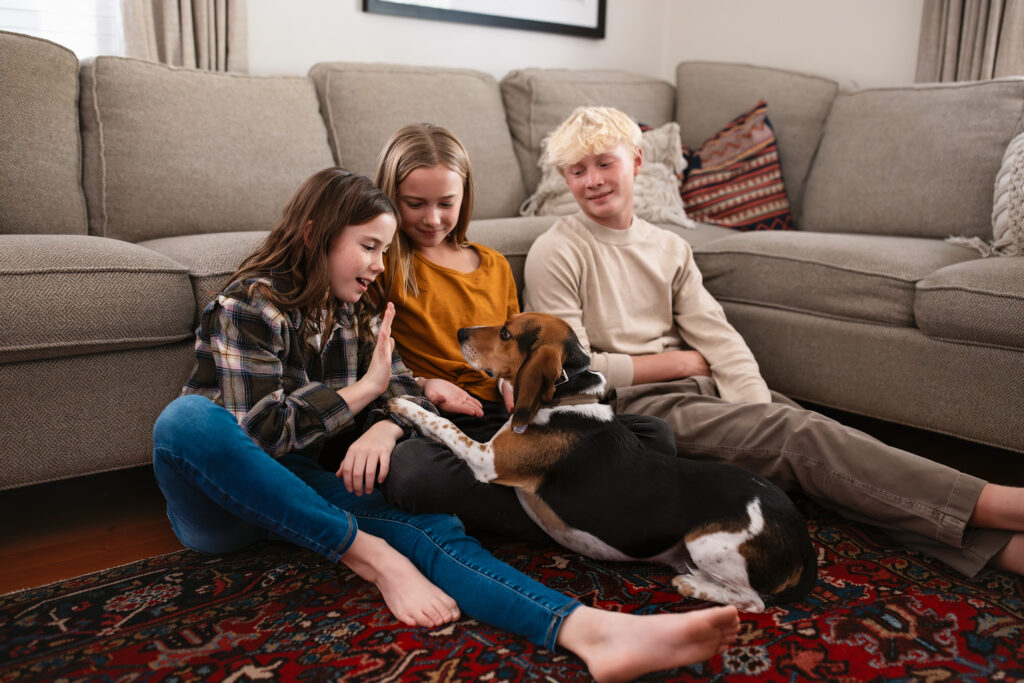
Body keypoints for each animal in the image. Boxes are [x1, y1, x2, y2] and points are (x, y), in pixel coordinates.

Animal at [387, 313, 819, 610]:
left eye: (507, 333)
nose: (460, 332)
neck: (565, 398)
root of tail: (803, 543)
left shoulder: (488, 459)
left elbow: (445, 425)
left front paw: (404, 404)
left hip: (708, 544)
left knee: (752, 602)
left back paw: (692, 585)